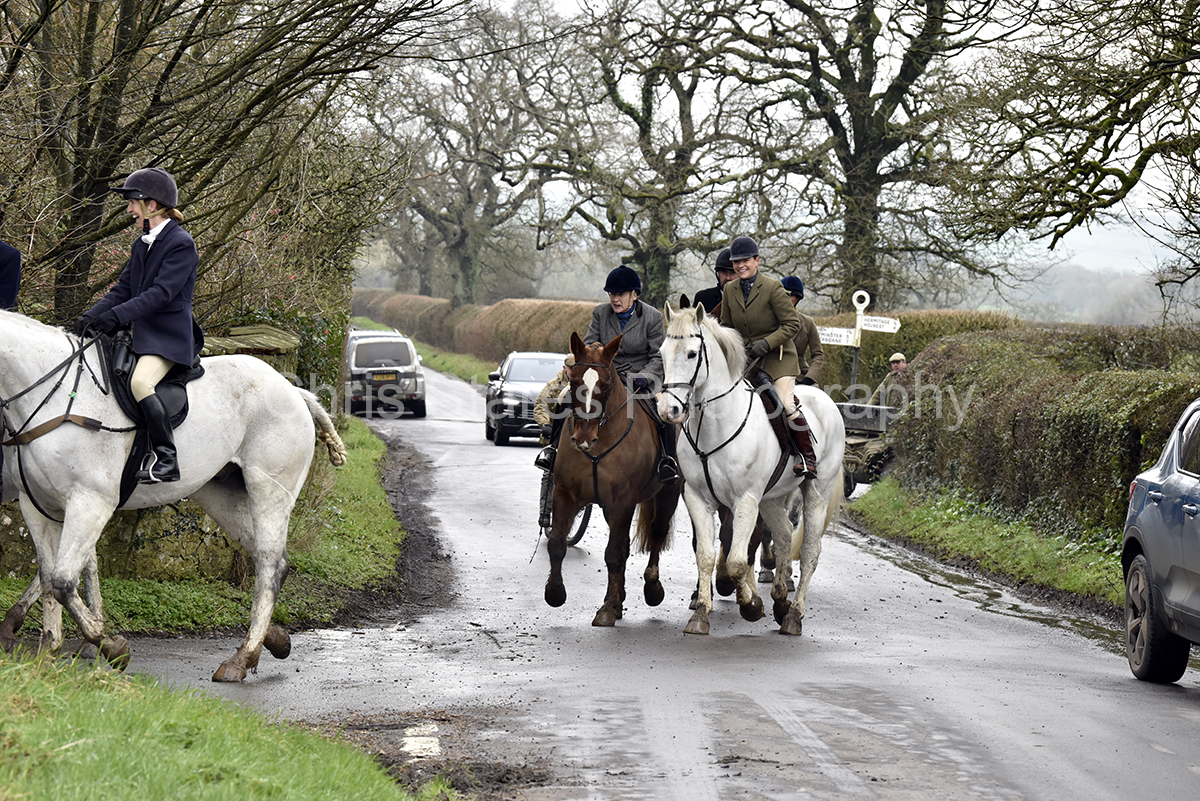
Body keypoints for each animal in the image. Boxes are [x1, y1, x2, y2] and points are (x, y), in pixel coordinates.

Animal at [0, 310, 347, 680]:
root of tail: (294, 390)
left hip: (269, 491)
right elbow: (50, 580)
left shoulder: (89, 502)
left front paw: (109, 645)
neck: (57, 398)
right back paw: (274, 639)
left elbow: (64, 581)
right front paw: (47, 654)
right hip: (221, 496)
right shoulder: (37, 506)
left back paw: (243, 658)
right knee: (268, 560)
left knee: (270, 564)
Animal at [543, 331, 681, 626]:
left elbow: (614, 554)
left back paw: (652, 588)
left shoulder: (623, 500)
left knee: (657, 533)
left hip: (669, 493)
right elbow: (557, 543)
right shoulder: (565, 492)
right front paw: (555, 593)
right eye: (573, 381)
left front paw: (607, 608)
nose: (583, 438)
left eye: (604, 386)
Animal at [658, 303, 845, 635]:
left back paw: (794, 615)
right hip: (770, 498)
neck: (715, 424)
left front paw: (751, 605)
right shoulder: (697, 498)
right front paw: (701, 613)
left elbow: (735, 560)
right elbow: (706, 555)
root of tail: (825, 399)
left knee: (810, 551)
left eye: (692, 354)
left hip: (816, 493)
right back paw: (780, 600)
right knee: (783, 536)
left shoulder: (744, 501)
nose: (669, 410)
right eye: (662, 353)